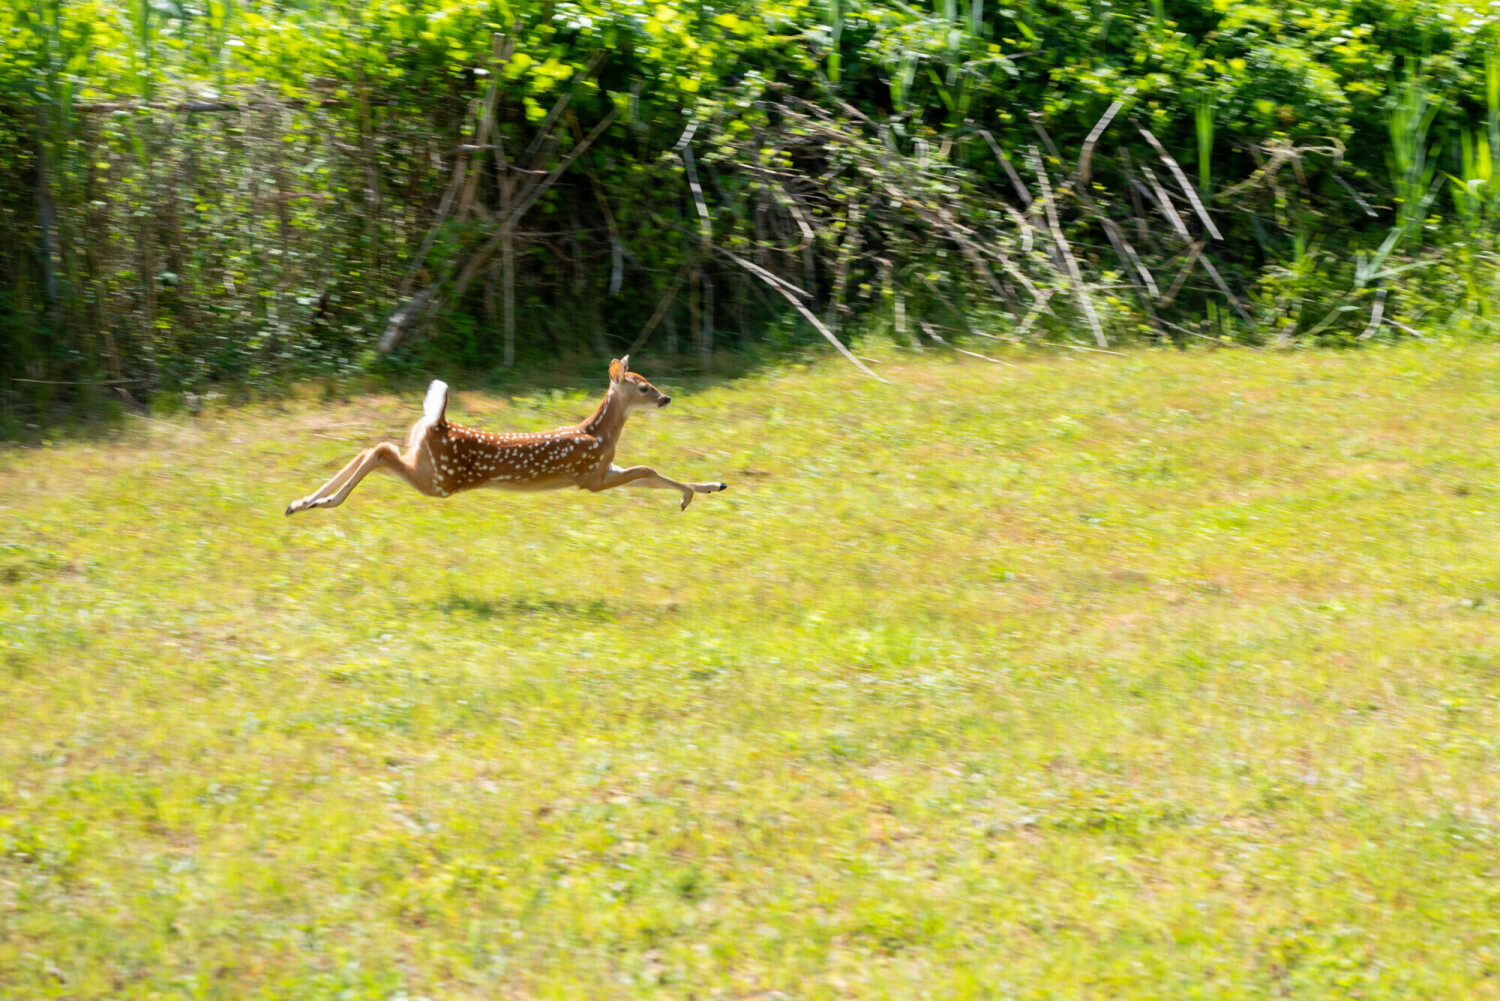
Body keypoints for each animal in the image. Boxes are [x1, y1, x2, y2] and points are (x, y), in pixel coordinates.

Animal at [285, 356, 728, 516]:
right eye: (643, 387)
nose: (666, 397)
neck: (599, 434)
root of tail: (437, 422)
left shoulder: (604, 468)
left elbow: (649, 473)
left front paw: (709, 487)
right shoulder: (589, 477)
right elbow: (646, 470)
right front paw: (691, 496)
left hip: (426, 464)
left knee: (374, 447)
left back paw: (301, 502)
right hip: (440, 480)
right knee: (378, 453)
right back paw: (317, 502)